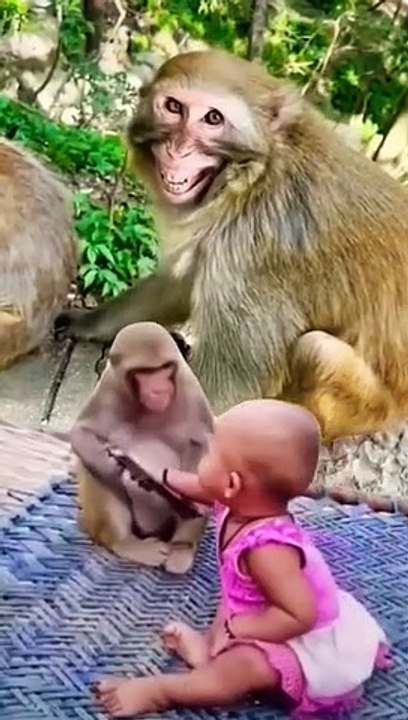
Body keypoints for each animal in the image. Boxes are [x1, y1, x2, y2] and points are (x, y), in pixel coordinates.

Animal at [55, 49, 408, 442]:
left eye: (213, 118)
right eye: (173, 107)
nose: (178, 150)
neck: (250, 179)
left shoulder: (254, 252)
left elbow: (231, 379)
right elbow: (178, 286)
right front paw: (88, 321)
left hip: (371, 408)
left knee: (316, 351)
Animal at [71, 321, 214, 574]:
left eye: (164, 369)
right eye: (144, 373)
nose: (158, 390)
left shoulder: (189, 386)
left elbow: (204, 441)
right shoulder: (109, 386)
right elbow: (82, 434)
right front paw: (118, 470)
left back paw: (182, 547)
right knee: (94, 468)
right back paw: (126, 542)